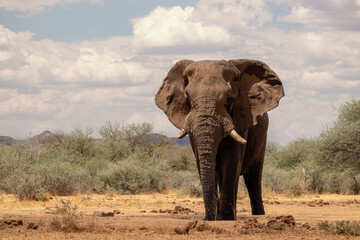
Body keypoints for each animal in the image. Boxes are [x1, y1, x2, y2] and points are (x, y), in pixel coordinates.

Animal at [155, 59, 284, 220]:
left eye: (229, 98)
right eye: (187, 98)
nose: (209, 218)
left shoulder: (241, 118)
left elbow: (232, 160)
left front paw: (226, 218)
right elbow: (201, 161)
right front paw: (214, 217)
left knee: (253, 178)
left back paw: (257, 215)